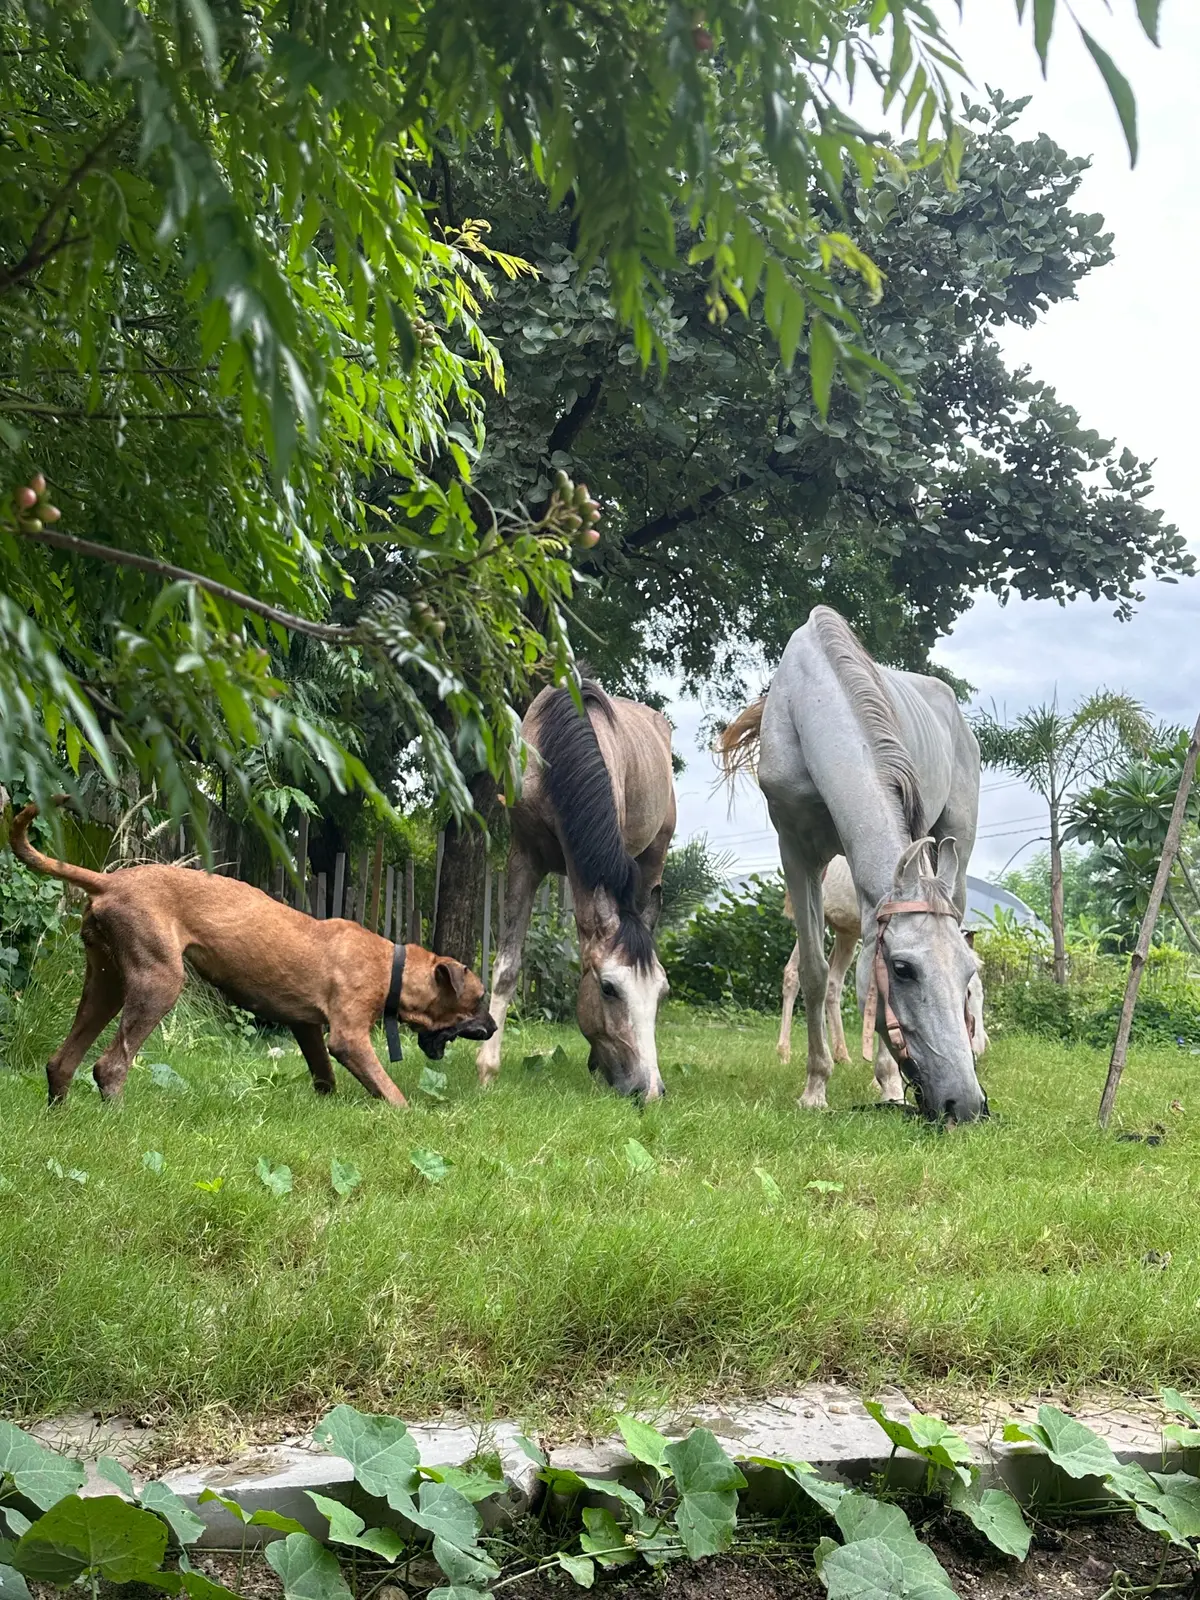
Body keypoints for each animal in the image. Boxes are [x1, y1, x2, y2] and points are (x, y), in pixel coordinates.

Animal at [476, 681, 676, 1100]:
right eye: (608, 989)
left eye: (662, 993)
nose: (650, 1091)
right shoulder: (523, 857)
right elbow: (507, 966)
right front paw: (487, 1070)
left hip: (654, 855)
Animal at [777, 858, 988, 1102]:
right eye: (969, 994)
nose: (980, 1047)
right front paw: (886, 1084)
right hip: (820, 922)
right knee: (793, 974)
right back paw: (784, 1053)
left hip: (845, 933)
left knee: (833, 982)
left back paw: (843, 1056)